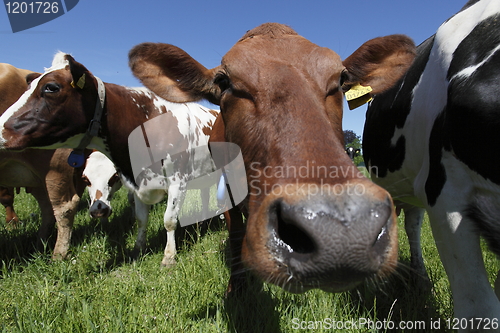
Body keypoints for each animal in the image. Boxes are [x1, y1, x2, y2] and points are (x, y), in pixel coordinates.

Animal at [0, 63, 86, 258]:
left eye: (50, 87)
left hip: (54, 168)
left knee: (64, 207)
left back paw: (58, 254)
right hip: (37, 177)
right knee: (48, 208)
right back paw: (40, 246)